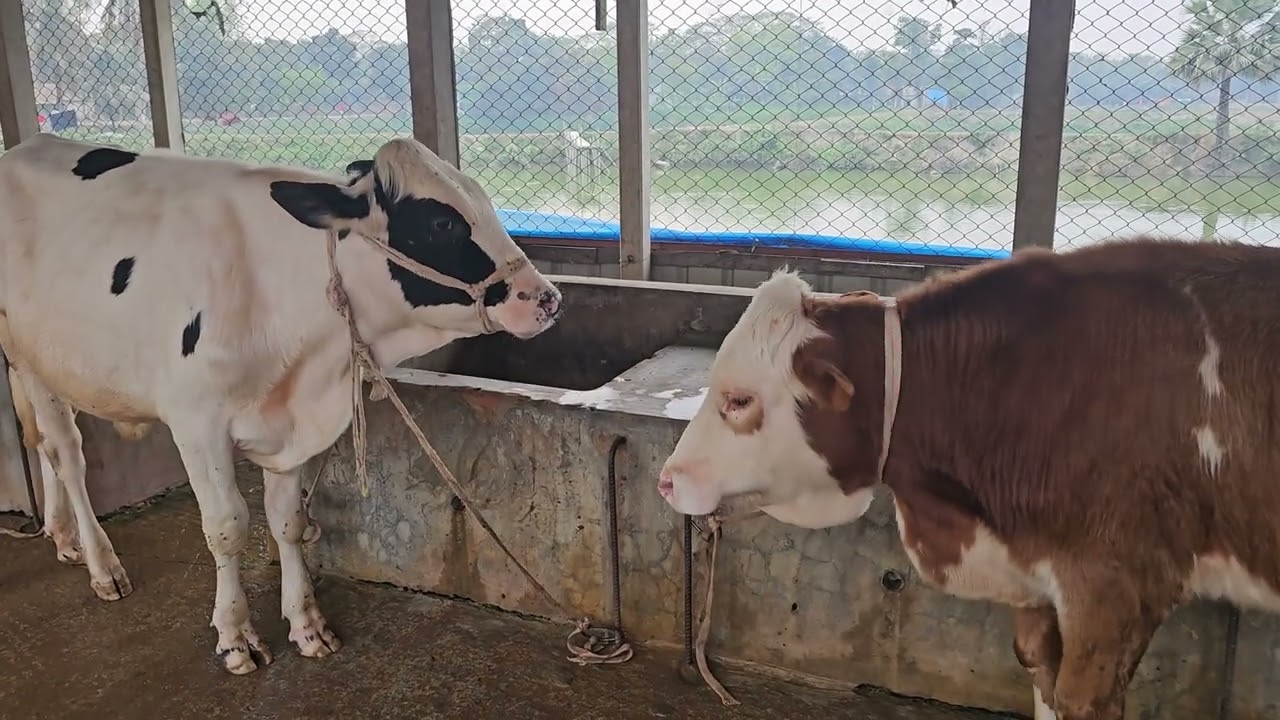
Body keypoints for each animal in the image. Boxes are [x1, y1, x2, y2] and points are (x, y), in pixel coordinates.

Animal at [0, 132, 562, 675]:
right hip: (33, 360)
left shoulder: (290, 424)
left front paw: (307, 625)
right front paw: (234, 636)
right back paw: (102, 564)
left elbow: (288, 519)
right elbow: (227, 528)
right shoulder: (196, 422)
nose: (547, 298)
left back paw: (62, 536)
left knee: (44, 447)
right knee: (67, 455)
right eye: (442, 222)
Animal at [657, 236, 1280, 720]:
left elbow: (1080, 699)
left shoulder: (1116, 582)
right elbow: (1039, 672)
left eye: (740, 399)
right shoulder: (1036, 573)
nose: (667, 480)